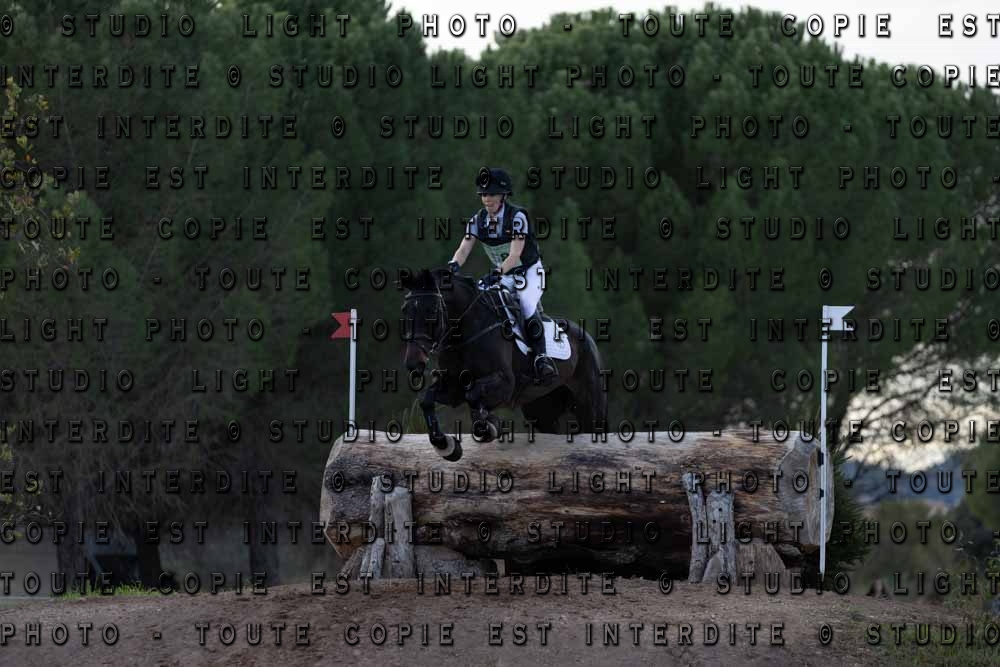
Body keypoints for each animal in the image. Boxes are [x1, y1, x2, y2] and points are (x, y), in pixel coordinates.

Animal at [399, 266, 608, 461]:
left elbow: (473, 396)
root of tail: (586, 336)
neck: (467, 329)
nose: (413, 363)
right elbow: (426, 399)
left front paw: (489, 426)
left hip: (589, 404)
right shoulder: (453, 387)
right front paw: (446, 446)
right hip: (541, 408)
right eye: (405, 310)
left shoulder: (506, 384)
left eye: (431, 310)